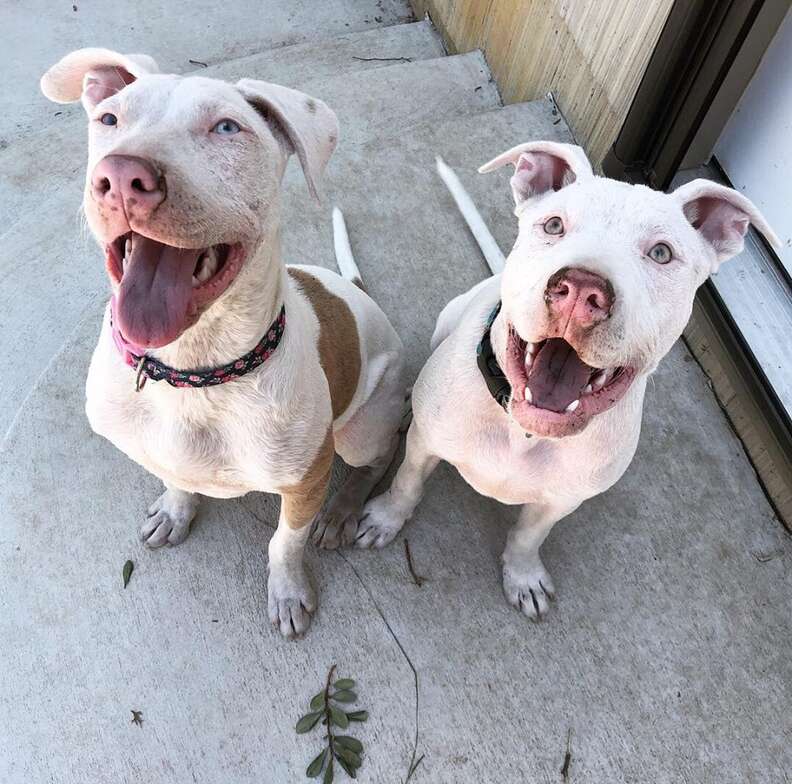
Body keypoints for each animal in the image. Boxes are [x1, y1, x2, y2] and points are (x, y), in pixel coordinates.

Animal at [40, 47, 406, 636]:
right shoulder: (156, 449)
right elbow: (175, 480)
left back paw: (344, 510)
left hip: (362, 428)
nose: (121, 175)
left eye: (227, 128)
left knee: (381, 453)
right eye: (110, 119)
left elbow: (285, 543)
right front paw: (175, 510)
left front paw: (287, 592)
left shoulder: (306, 479)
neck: (194, 373)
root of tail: (356, 293)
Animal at [354, 139, 780, 620]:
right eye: (554, 225)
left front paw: (523, 576)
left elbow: (529, 534)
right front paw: (385, 518)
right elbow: (408, 482)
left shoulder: (563, 498)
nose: (580, 289)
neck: (525, 432)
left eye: (661, 253)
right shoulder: (426, 444)